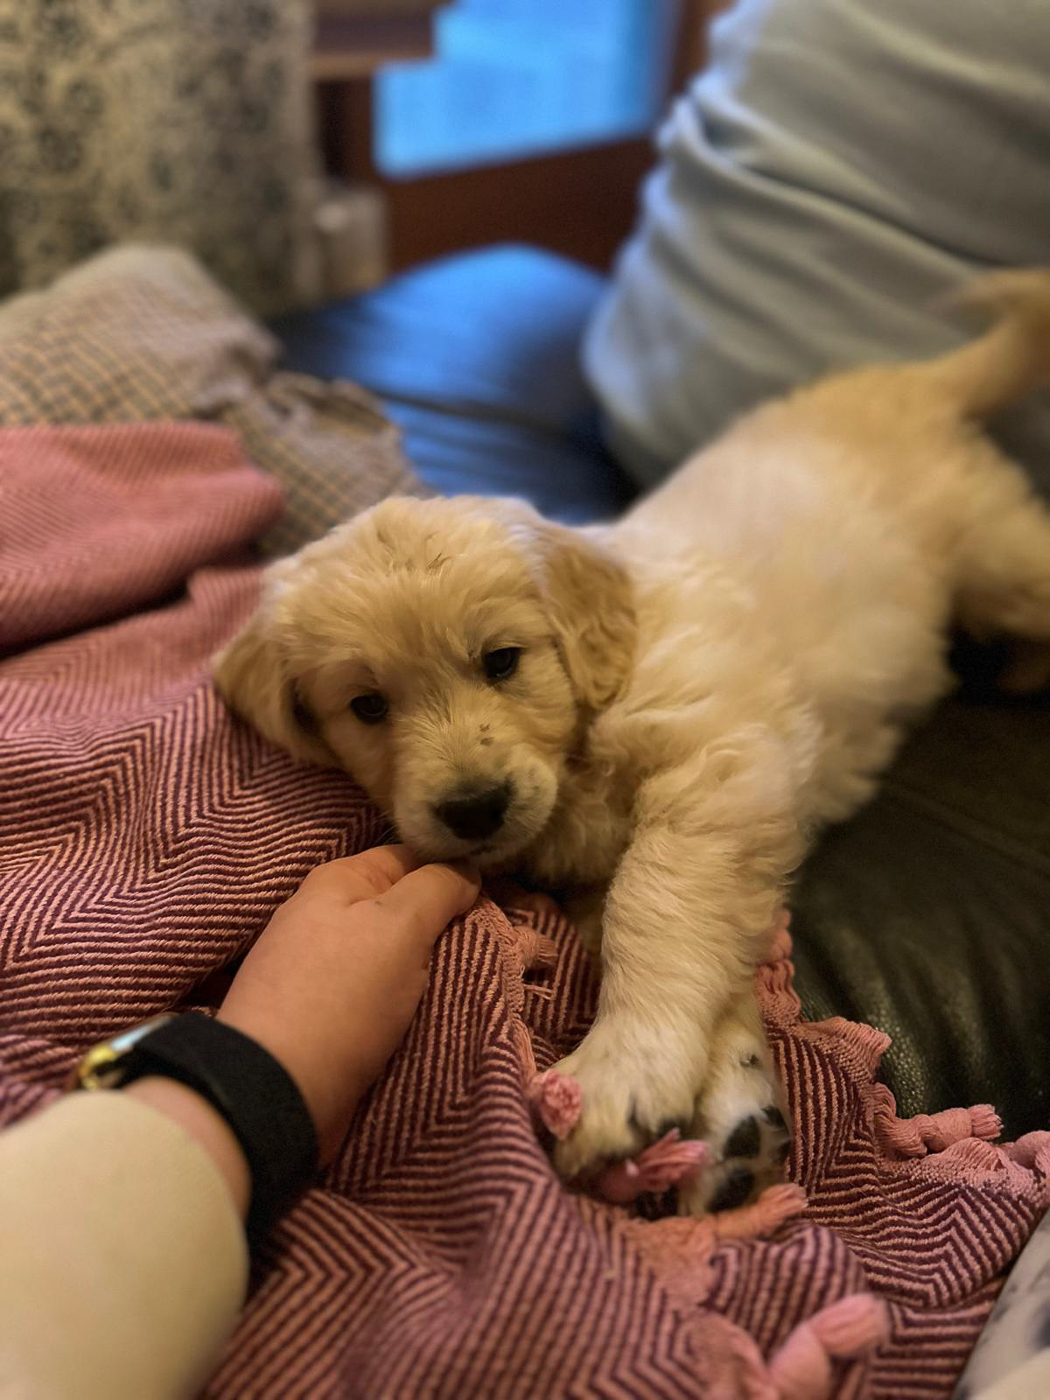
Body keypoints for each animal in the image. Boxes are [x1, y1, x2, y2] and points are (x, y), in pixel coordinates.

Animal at [214, 270, 1050, 1213]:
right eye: (366, 706)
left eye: (501, 660)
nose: (474, 809)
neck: (584, 726)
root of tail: (904, 383)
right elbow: (698, 956)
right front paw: (730, 1115)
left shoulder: (715, 773)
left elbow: (653, 912)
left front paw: (621, 1068)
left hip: (1004, 563)